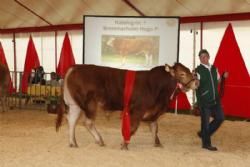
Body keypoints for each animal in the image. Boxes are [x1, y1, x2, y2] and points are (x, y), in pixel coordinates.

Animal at [55, 62, 198, 149]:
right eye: (182, 74)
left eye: (188, 70)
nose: (196, 82)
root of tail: (75, 67)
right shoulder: (137, 110)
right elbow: (133, 128)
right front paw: (124, 144)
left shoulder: (153, 112)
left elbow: (154, 128)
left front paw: (158, 144)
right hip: (89, 102)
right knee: (87, 122)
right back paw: (99, 140)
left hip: (75, 104)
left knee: (72, 120)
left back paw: (73, 143)